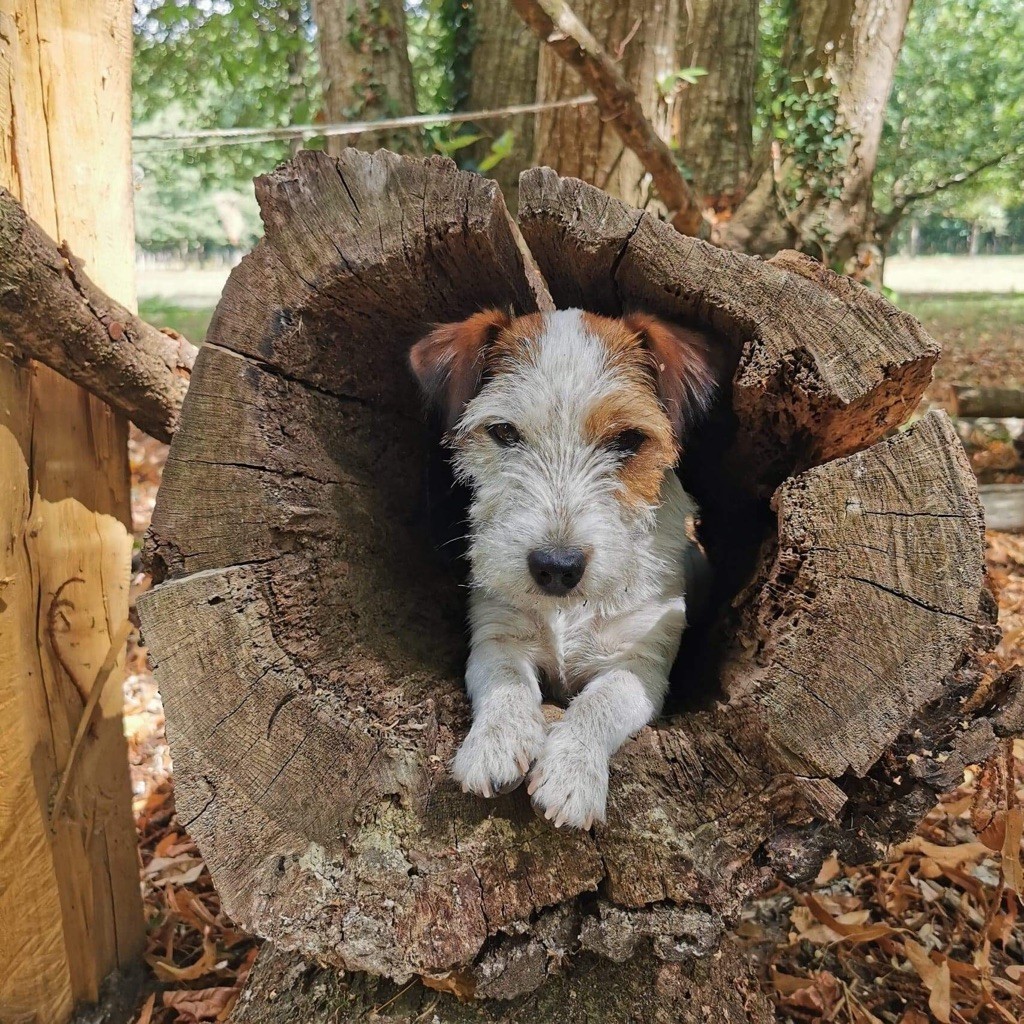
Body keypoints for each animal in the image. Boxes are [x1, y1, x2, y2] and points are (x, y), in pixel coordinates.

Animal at [405, 307, 712, 827]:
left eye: (628, 439)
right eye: (504, 432)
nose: (556, 566)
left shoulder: (642, 663)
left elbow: (600, 704)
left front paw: (572, 775)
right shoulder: (497, 634)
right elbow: (505, 682)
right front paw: (495, 744)